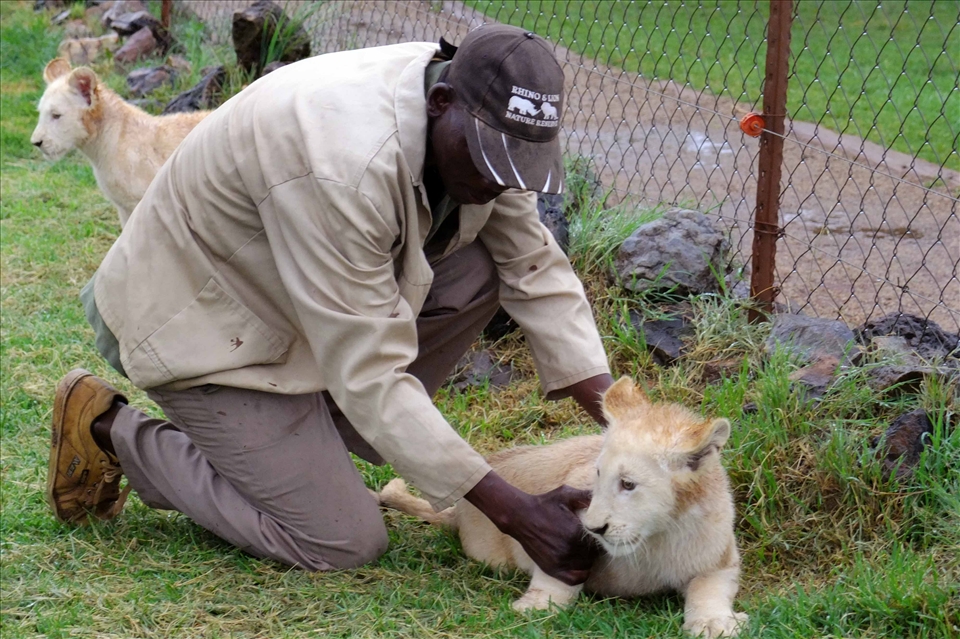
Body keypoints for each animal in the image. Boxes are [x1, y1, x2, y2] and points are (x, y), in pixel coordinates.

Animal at [379, 377, 748, 637]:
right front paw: (533, 607)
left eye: (628, 484)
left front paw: (714, 623)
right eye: (598, 474)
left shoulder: (719, 561)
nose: (594, 528)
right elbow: (555, 575)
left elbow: (709, 590)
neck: (656, 538)